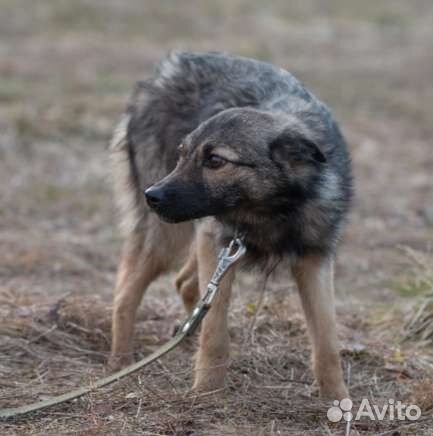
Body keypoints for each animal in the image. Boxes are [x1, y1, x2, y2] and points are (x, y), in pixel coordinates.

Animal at [107, 51, 352, 398]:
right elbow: (215, 332)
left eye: (215, 160)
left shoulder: (314, 261)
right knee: (125, 296)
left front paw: (338, 401)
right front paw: (206, 393)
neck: (271, 211)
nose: (151, 196)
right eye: (183, 154)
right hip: (169, 239)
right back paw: (121, 363)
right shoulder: (218, 243)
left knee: (185, 284)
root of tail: (169, 67)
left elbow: (327, 343)